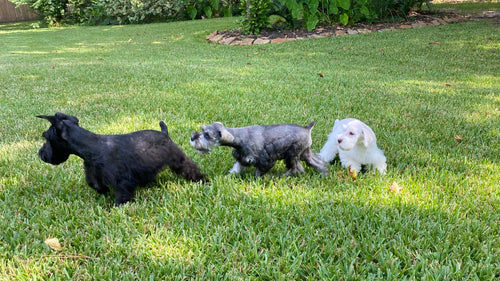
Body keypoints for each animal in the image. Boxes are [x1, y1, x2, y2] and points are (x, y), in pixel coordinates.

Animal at [36, 112, 205, 206]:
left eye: (46, 137)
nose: (41, 154)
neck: (92, 147)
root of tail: (164, 132)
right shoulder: (93, 172)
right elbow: (94, 184)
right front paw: (103, 191)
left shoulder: (122, 181)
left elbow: (122, 193)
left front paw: (117, 207)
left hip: (177, 159)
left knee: (190, 168)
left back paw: (203, 180)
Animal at [190, 121, 328, 176]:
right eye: (203, 129)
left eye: (207, 135)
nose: (192, 138)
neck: (239, 138)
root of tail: (307, 128)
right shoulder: (241, 158)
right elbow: (235, 169)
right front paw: (227, 177)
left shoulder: (264, 161)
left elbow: (259, 172)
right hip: (305, 152)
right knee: (318, 163)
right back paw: (324, 173)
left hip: (292, 155)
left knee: (297, 168)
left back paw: (285, 175)